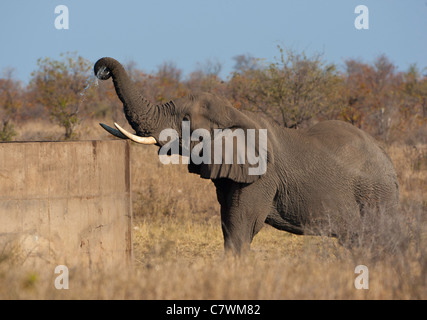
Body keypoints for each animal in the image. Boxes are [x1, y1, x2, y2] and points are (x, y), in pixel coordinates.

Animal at [94, 56, 402, 254]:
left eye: (185, 119)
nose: (101, 71)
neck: (236, 113)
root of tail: (390, 165)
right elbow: (228, 219)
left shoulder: (261, 177)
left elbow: (242, 223)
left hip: (375, 196)